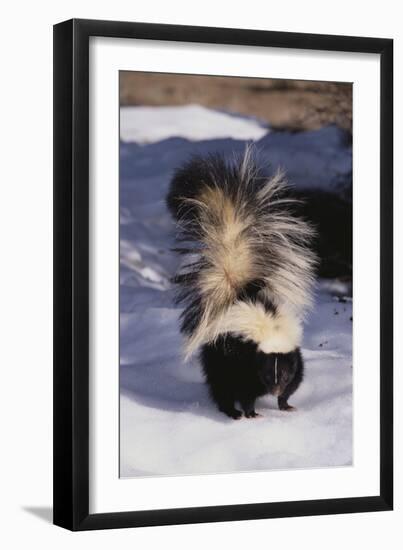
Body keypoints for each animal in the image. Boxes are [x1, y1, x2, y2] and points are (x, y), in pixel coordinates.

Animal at [167, 149, 318, 420]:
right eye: (268, 373)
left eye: (283, 373)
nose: (274, 388)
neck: (270, 331)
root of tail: (235, 292)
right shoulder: (243, 361)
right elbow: (245, 390)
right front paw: (250, 413)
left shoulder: (293, 356)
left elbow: (295, 381)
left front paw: (285, 404)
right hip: (218, 356)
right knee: (221, 386)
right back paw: (231, 411)